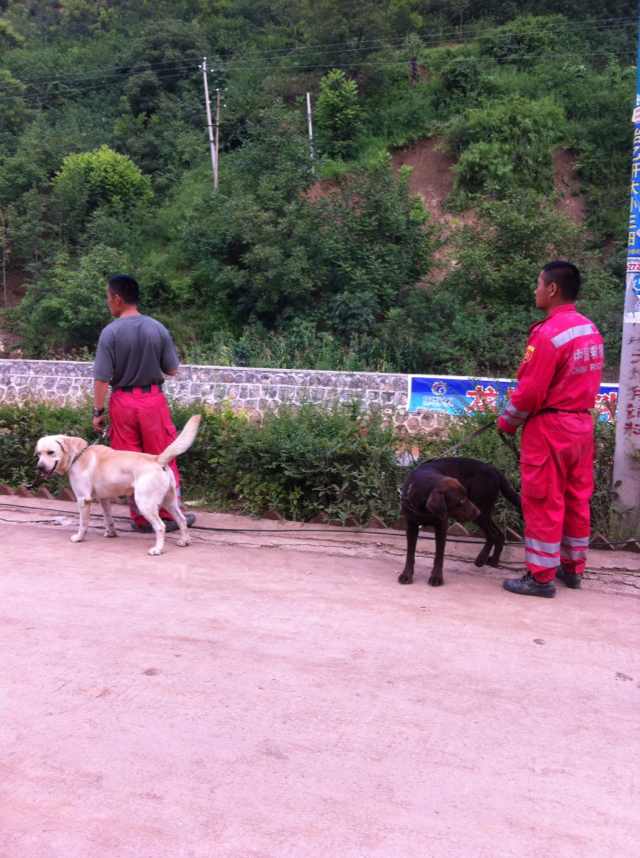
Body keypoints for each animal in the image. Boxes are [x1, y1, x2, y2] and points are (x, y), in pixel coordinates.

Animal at [35, 414, 200, 556]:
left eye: (50, 452)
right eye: (38, 454)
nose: (39, 467)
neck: (77, 455)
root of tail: (157, 459)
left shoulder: (83, 499)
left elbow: (83, 523)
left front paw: (79, 537)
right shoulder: (104, 499)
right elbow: (109, 519)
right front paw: (111, 533)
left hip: (145, 503)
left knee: (160, 526)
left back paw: (157, 549)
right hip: (169, 501)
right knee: (181, 519)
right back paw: (184, 541)